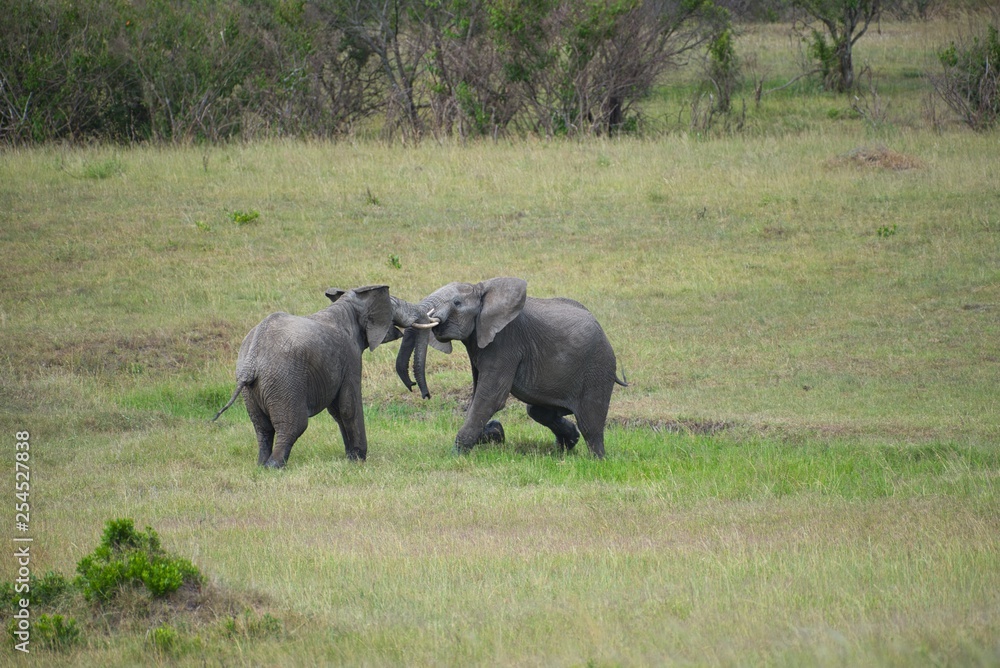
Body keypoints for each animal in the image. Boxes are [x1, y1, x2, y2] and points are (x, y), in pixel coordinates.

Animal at [213, 285, 425, 467]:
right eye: (394, 304)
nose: (414, 385)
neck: (346, 304)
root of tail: (252, 359)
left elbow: (337, 411)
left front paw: (350, 458)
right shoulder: (350, 356)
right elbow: (348, 406)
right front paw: (359, 460)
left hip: (251, 389)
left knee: (262, 428)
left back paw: (261, 465)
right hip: (284, 381)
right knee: (293, 425)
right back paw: (274, 466)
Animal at [396, 277, 626, 458]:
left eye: (456, 302)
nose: (423, 393)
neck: (484, 290)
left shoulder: (505, 343)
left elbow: (490, 398)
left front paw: (456, 456)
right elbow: (477, 396)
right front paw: (494, 432)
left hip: (598, 368)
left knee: (590, 424)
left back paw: (597, 460)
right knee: (538, 411)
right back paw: (566, 446)